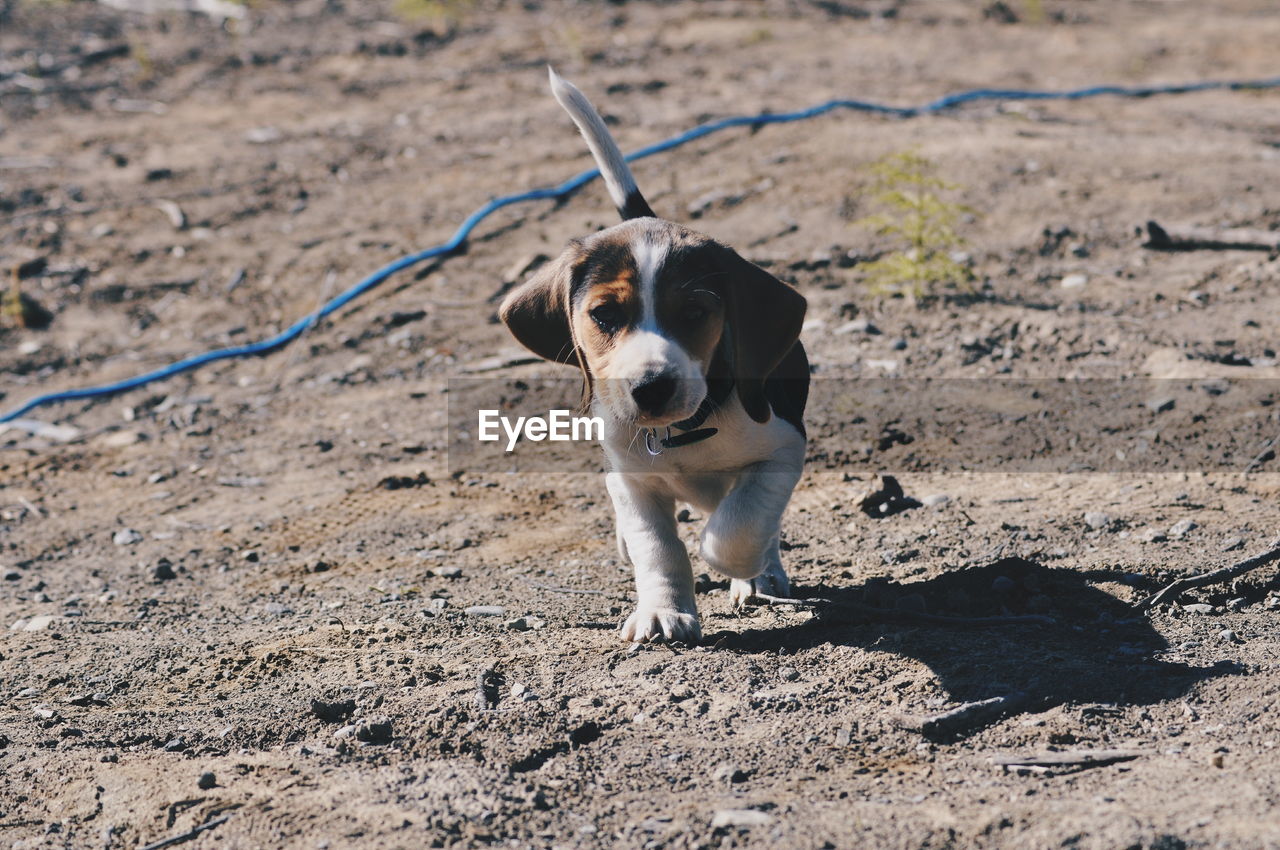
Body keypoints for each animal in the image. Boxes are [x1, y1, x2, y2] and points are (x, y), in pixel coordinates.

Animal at [499, 71, 808, 645]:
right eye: (603, 315)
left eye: (694, 313)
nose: (650, 388)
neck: (683, 432)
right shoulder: (631, 479)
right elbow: (658, 547)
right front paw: (663, 611)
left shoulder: (782, 451)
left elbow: (738, 525)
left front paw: (739, 567)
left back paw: (763, 575)